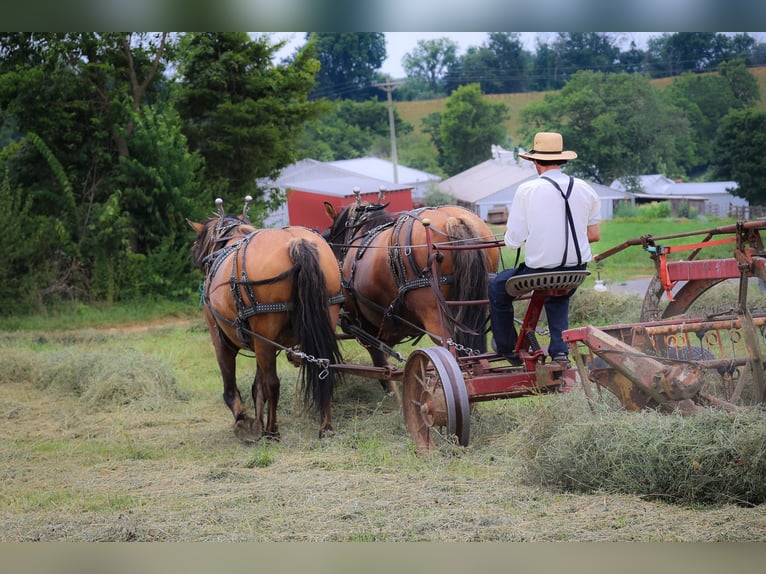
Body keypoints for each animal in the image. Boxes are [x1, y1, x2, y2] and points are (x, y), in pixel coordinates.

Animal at [188, 198, 344, 441]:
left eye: (199, 240)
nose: (196, 255)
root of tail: (296, 242)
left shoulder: (221, 339)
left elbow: (233, 387)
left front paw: (243, 421)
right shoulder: (259, 341)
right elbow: (257, 386)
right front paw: (256, 424)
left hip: (263, 334)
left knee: (273, 383)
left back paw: (272, 431)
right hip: (324, 317)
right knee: (323, 367)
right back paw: (325, 426)